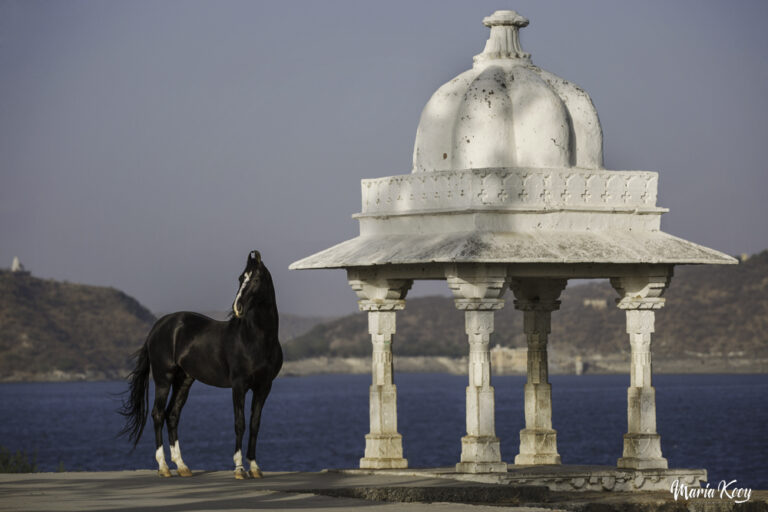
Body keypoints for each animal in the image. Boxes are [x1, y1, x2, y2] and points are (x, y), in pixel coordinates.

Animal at [119, 250, 283, 479]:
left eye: (256, 279)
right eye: (241, 278)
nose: (238, 308)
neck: (255, 339)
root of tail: (159, 326)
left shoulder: (264, 387)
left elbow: (255, 425)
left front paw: (255, 467)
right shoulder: (239, 386)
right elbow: (239, 424)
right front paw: (239, 469)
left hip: (184, 380)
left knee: (172, 415)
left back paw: (182, 467)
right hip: (163, 378)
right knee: (158, 414)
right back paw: (164, 468)